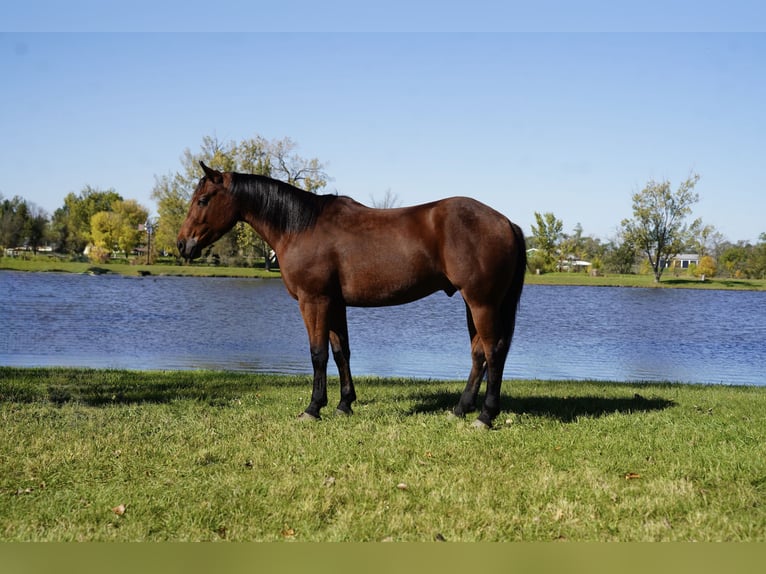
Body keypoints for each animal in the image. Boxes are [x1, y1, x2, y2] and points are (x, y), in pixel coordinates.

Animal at [177, 162, 526, 428]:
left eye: (203, 200)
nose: (182, 244)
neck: (300, 227)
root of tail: (507, 222)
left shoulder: (314, 301)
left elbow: (318, 353)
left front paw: (313, 408)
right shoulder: (334, 304)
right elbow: (340, 351)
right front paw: (344, 404)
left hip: (482, 302)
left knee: (493, 351)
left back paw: (484, 416)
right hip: (474, 303)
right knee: (479, 353)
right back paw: (460, 408)